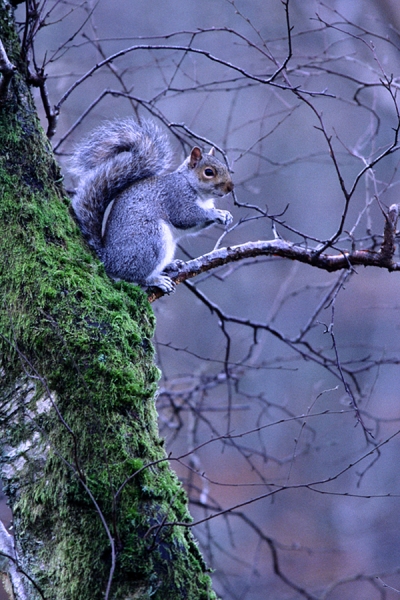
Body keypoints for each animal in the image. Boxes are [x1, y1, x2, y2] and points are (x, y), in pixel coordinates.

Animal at [70, 118, 234, 292]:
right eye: (209, 172)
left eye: (225, 167)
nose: (231, 187)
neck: (199, 193)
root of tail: (109, 260)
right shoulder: (176, 197)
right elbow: (185, 217)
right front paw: (216, 213)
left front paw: (225, 215)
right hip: (151, 240)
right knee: (134, 278)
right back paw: (156, 280)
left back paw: (171, 265)